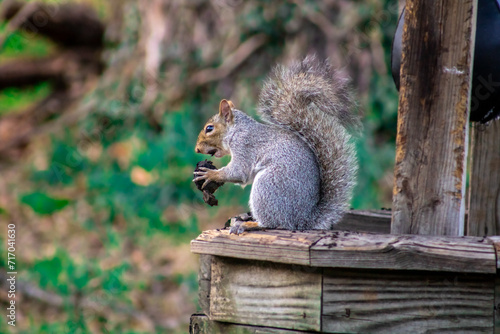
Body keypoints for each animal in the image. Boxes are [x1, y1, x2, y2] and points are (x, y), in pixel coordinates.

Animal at [191, 54, 360, 234]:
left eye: (209, 128)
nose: (197, 149)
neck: (236, 130)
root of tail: (301, 220)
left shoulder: (244, 146)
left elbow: (239, 171)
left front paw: (210, 174)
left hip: (267, 186)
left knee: (272, 223)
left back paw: (249, 224)